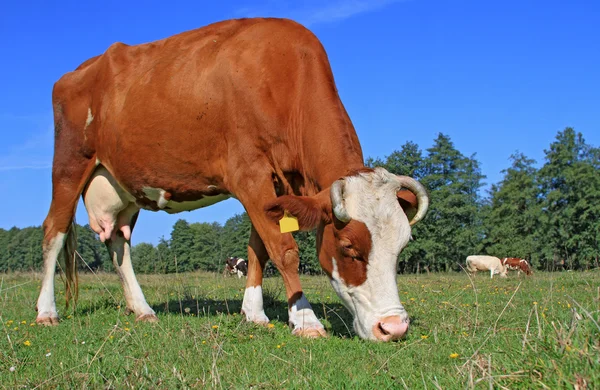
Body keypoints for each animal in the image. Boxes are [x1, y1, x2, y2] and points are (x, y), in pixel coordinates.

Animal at [34, 18, 426, 342]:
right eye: (348, 248)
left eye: (402, 247)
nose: (393, 327)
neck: (282, 77)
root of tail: (80, 70)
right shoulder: (249, 173)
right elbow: (283, 249)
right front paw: (305, 320)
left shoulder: (274, 186)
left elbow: (259, 249)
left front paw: (254, 314)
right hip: (69, 165)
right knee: (54, 230)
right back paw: (46, 312)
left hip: (125, 185)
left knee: (118, 242)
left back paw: (142, 310)